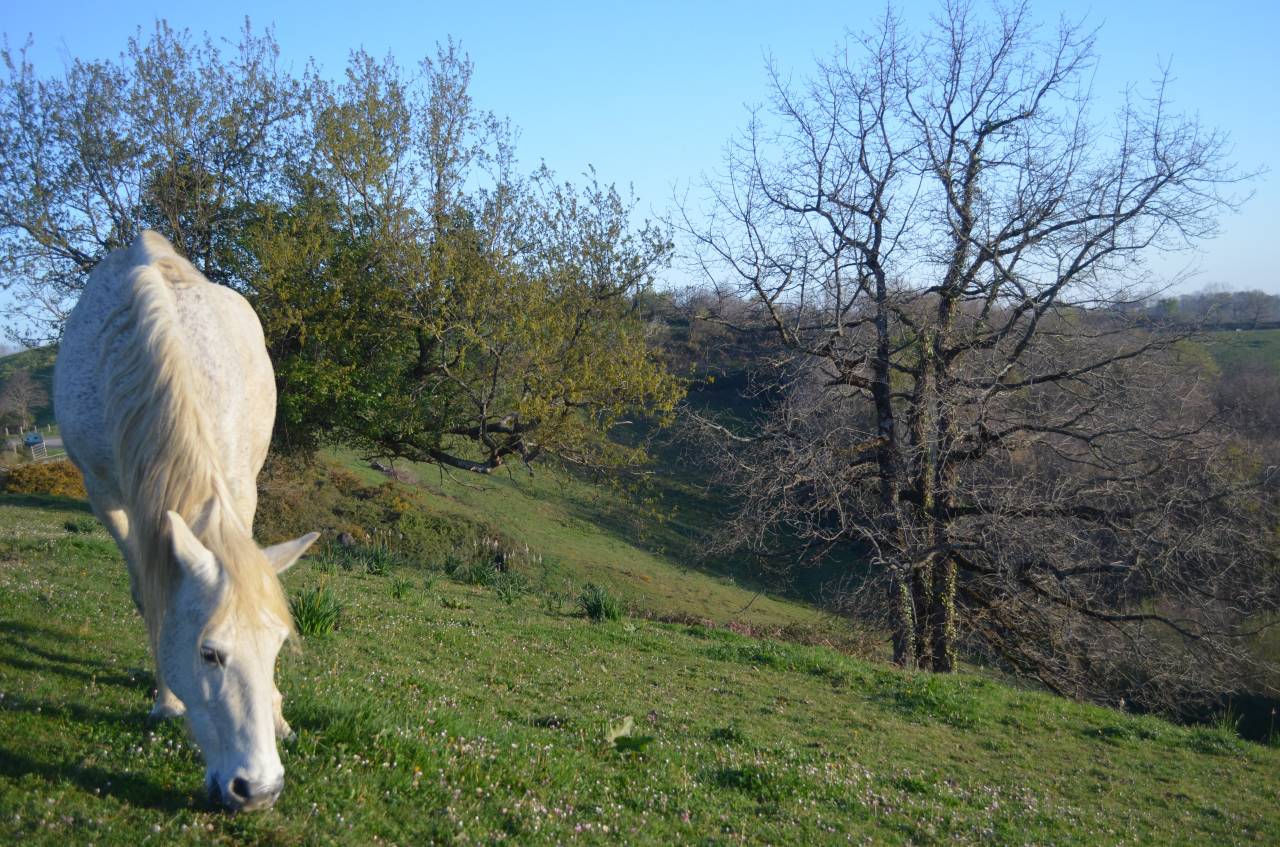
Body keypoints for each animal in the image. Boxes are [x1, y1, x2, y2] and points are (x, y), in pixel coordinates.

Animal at [53, 231, 318, 811]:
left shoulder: (240, 486)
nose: (259, 790)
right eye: (209, 654)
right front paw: (167, 700)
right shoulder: (106, 497)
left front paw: (277, 711)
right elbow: (149, 593)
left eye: (276, 649)